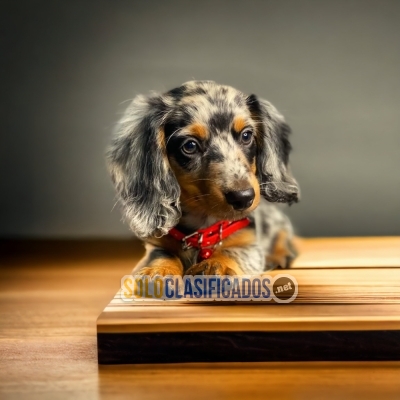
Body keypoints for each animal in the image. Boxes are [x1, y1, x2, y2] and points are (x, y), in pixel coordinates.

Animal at [107, 79, 300, 276]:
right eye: (190, 146)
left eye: (246, 135)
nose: (243, 198)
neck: (203, 231)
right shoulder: (158, 244)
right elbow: (162, 254)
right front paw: (159, 270)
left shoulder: (249, 243)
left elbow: (231, 251)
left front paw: (216, 265)